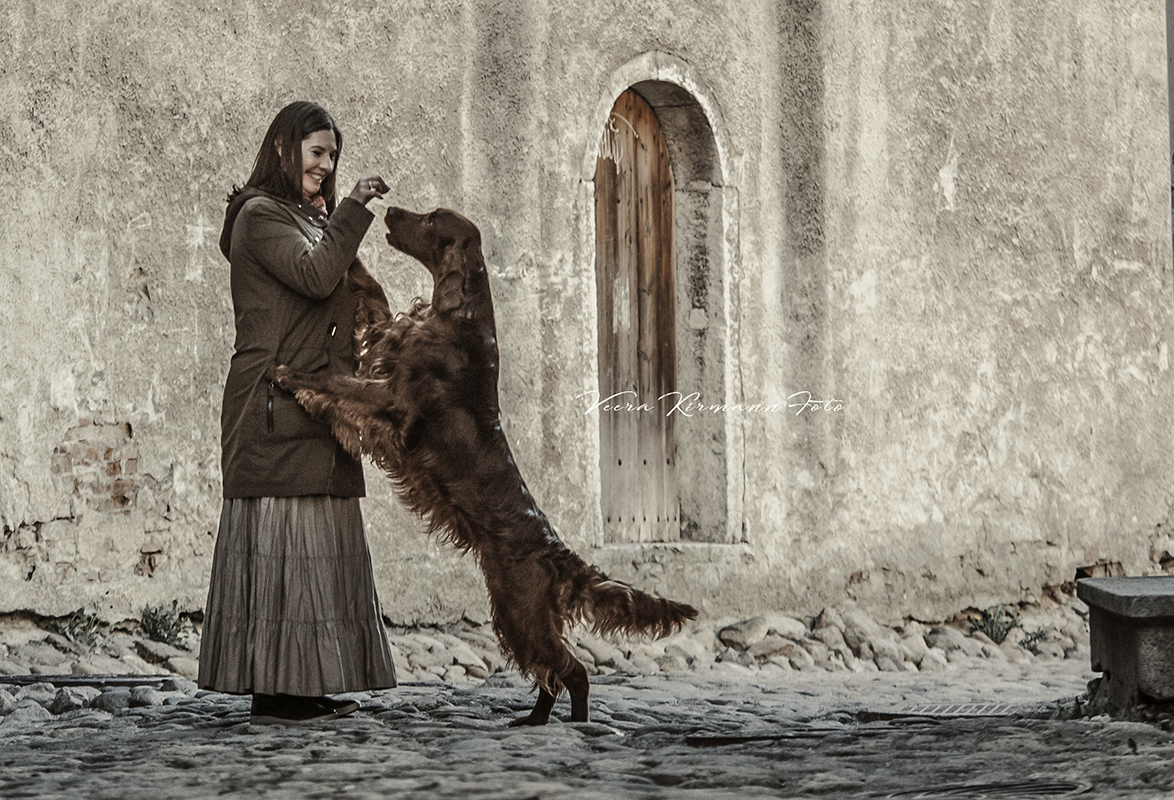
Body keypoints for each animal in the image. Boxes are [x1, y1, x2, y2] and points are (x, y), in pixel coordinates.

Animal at [274, 205, 695, 723]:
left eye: (430, 221)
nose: (391, 210)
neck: (458, 316)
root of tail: (556, 552)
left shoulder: (391, 399)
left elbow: (336, 384)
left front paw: (291, 376)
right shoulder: (388, 340)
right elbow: (373, 295)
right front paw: (346, 243)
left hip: (520, 610)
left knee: (572, 670)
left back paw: (576, 726)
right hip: (515, 613)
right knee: (551, 673)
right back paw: (532, 721)